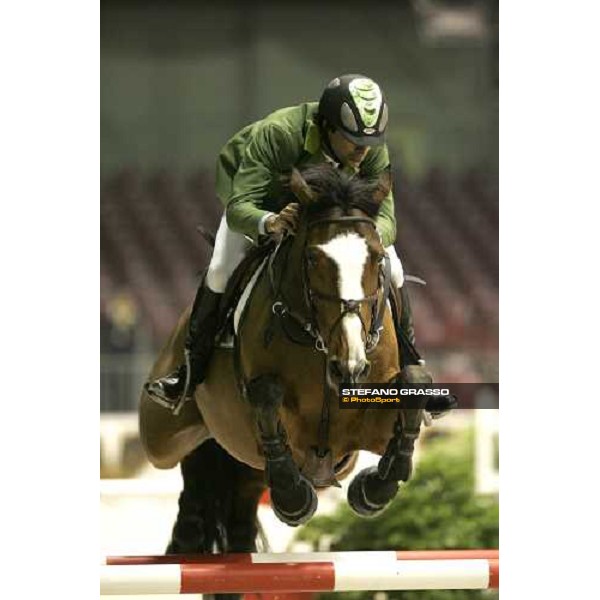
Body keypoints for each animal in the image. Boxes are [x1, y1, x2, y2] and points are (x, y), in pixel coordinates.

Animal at [139, 163, 432, 556]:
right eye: (312, 258)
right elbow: (267, 399)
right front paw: (294, 500)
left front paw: (372, 490)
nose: (350, 365)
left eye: (376, 258)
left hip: (240, 471)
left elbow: (412, 389)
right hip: (162, 440)